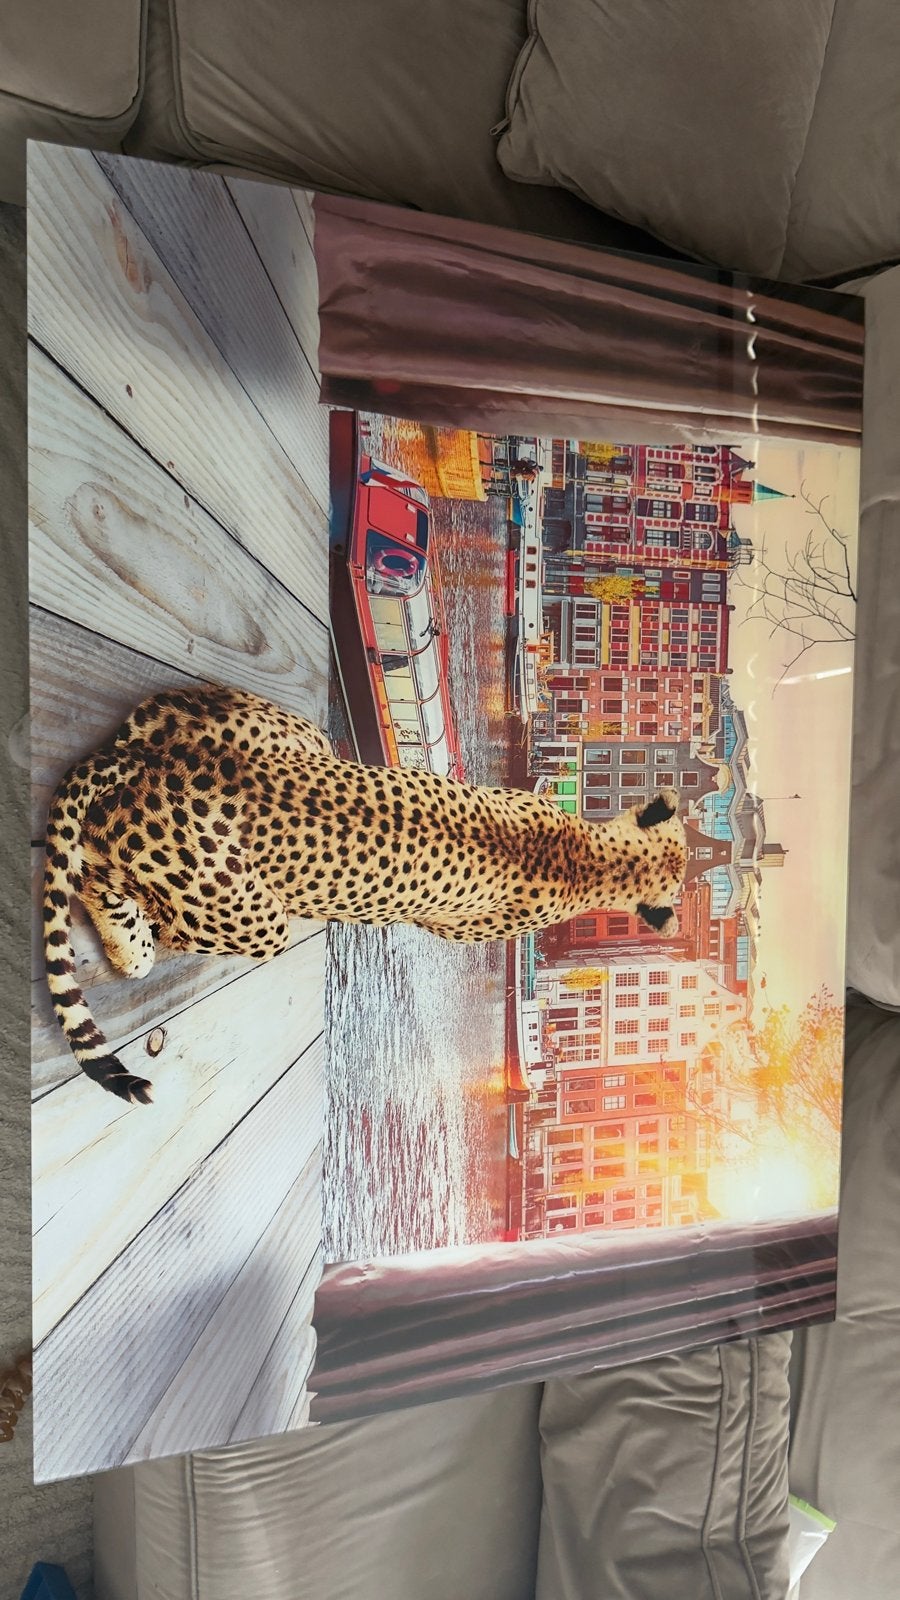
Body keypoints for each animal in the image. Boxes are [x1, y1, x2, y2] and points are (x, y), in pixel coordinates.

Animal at [43, 683, 687, 1105]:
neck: (599, 859)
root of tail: (153, 761)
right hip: (256, 916)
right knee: (120, 897)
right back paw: (130, 949)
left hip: (266, 729)